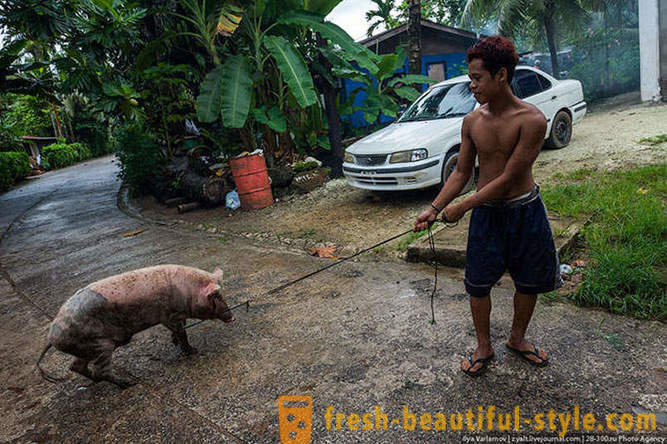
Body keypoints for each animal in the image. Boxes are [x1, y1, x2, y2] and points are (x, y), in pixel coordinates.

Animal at [37, 266, 235, 386]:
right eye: (216, 297)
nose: (232, 317)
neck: (187, 293)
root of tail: (51, 335)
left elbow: (179, 330)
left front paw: (175, 342)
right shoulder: (167, 315)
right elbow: (182, 332)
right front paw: (193, 351)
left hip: (85, 348)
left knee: (76, 366)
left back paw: (97, 381)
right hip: (101, 345)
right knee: (100, 370)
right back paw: (129, 384)